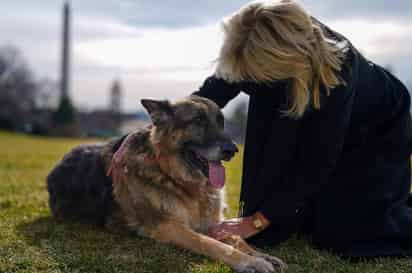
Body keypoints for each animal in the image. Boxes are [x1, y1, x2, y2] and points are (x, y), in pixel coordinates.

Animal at [46, 95, 286, 272]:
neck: (175, 178)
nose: (232, 150)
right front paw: (251, 262)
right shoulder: (170, 227)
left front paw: (261, 255)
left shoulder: (213, 223)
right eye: (198, 121)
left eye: (221, 122)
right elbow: (211, 244)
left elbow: (237, 238)